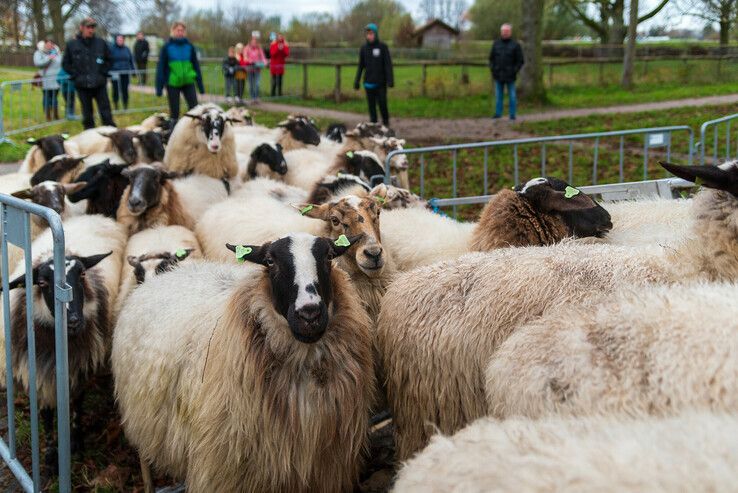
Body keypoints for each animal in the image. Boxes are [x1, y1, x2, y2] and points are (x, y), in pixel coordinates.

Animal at [0, 214, 125, 462]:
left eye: (83, 274)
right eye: (42, 283)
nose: (74, 320)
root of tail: (93, 215)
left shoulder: (80, 366)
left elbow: (77, 402)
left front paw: (76, 442)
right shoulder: (37, 371)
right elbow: (47, 414)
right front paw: (50, 454)